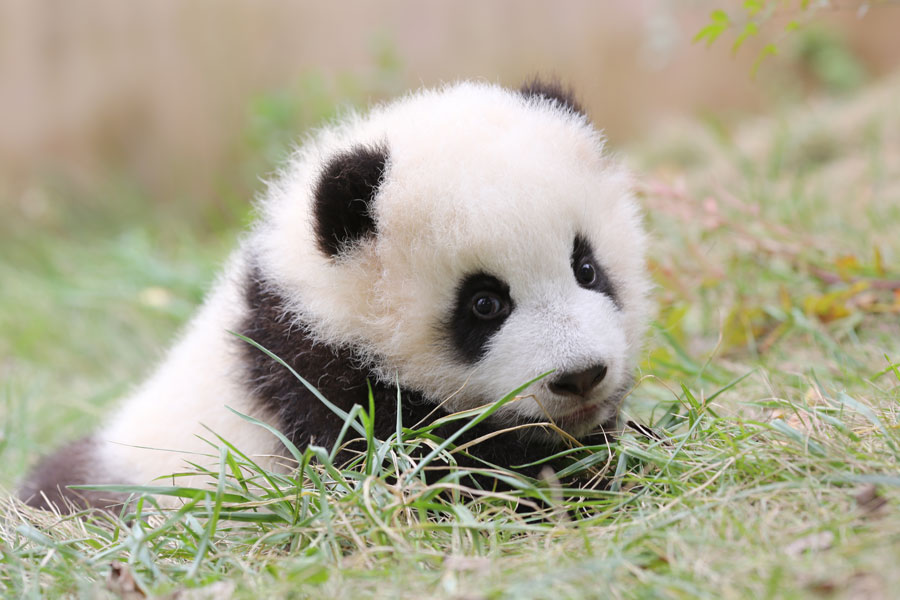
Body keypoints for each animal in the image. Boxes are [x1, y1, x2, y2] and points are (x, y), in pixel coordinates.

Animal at [21, 78, 652, 510]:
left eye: (587, 268)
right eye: (484, 304)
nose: (580, 376)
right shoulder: (311, 376)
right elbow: (421, 471)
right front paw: (573, 472)